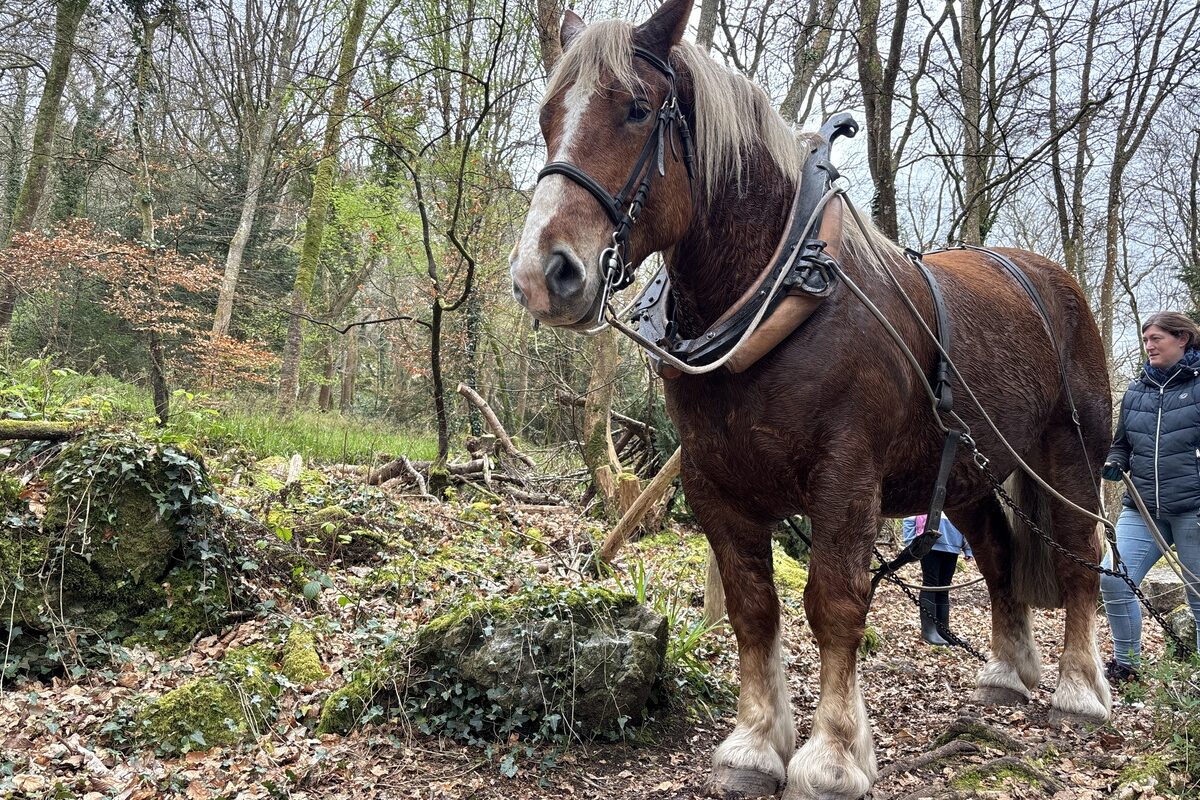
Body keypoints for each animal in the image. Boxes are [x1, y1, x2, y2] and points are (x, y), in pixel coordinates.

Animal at [509, 1, 1112, 797]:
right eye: (548, 117)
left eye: (636, 109)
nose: (542, 274)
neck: (783, 288)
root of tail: (1046, 275)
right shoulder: (713, 481)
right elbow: (752, 607)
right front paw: (755, 743)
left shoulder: (845, 479)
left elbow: (833, 603)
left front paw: (832, 754)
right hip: (968, 471)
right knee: (998, 553)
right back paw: (1008, 676)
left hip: (1071, 454)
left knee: (1079, 554)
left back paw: (1080, 688)